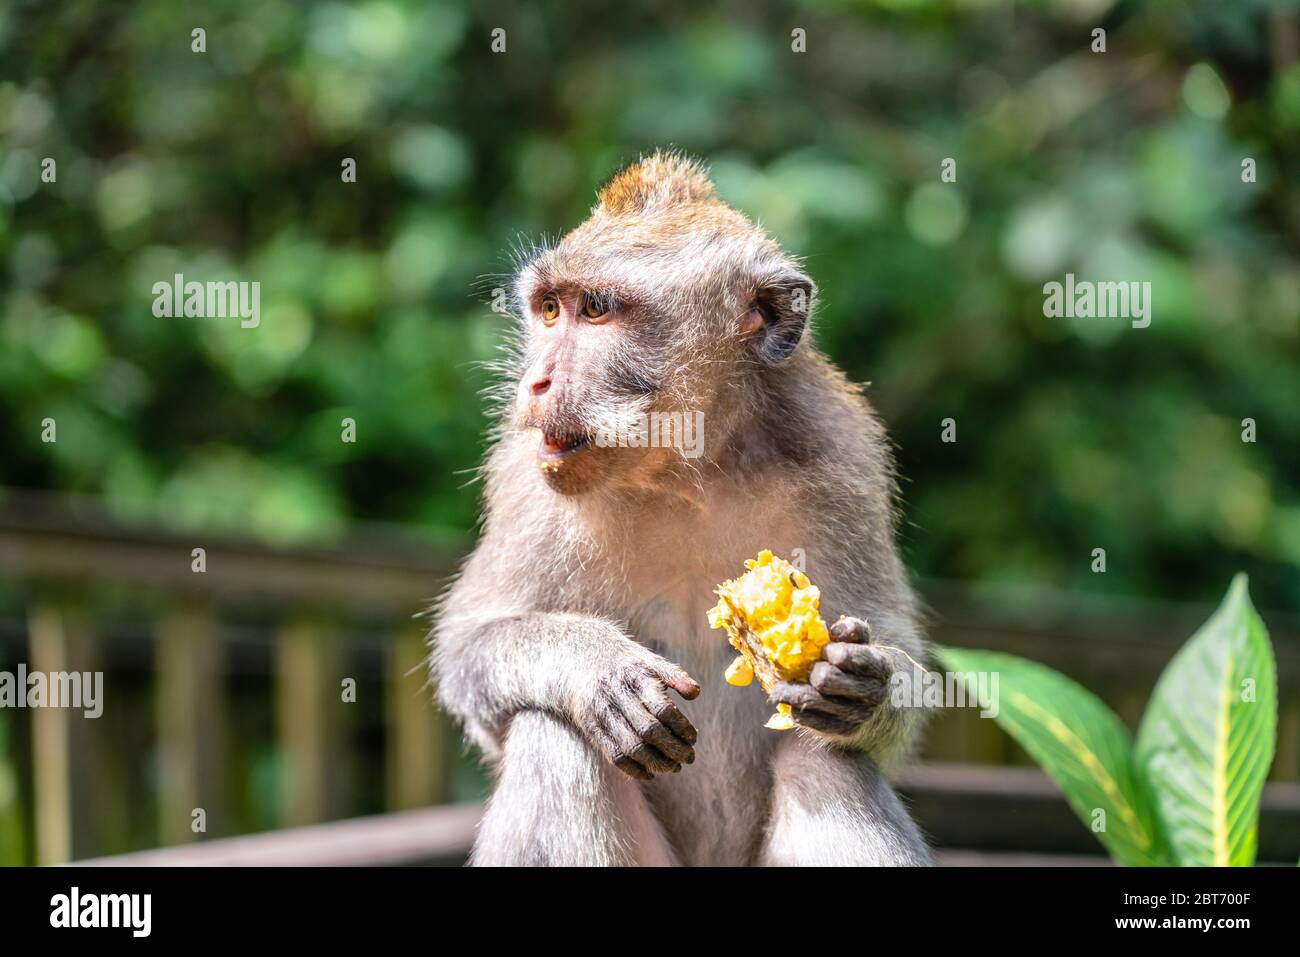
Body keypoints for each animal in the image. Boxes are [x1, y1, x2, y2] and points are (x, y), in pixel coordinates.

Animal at [431, 151, 930, 868]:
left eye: (596, 310)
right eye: (550, 310)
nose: (536, 382)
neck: (686, 469)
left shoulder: (847, 461)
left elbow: (897, 661)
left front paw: (863, 685)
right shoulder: (524, 479)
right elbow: (466, 648)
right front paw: (594, 668)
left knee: (823, 761)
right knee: (554, 737)